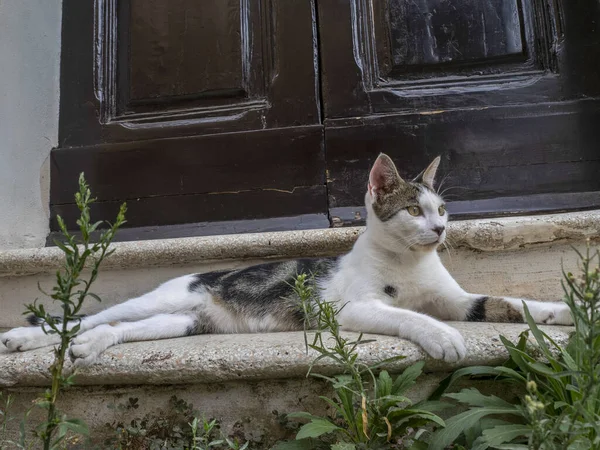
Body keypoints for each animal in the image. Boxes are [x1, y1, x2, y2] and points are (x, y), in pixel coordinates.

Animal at [0, 155, 572, 366]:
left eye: (443, 208)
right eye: (414, 209)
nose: (441, 229)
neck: (410, 263)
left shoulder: (458, 299)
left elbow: (510, 302)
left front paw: (569, 311)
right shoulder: (349, 309)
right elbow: (408, 316)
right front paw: (443, 337)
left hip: (183, 323)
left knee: (111, 329)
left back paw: (90, 347)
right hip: (159, 300)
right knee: (84, 318)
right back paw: (25, 339)